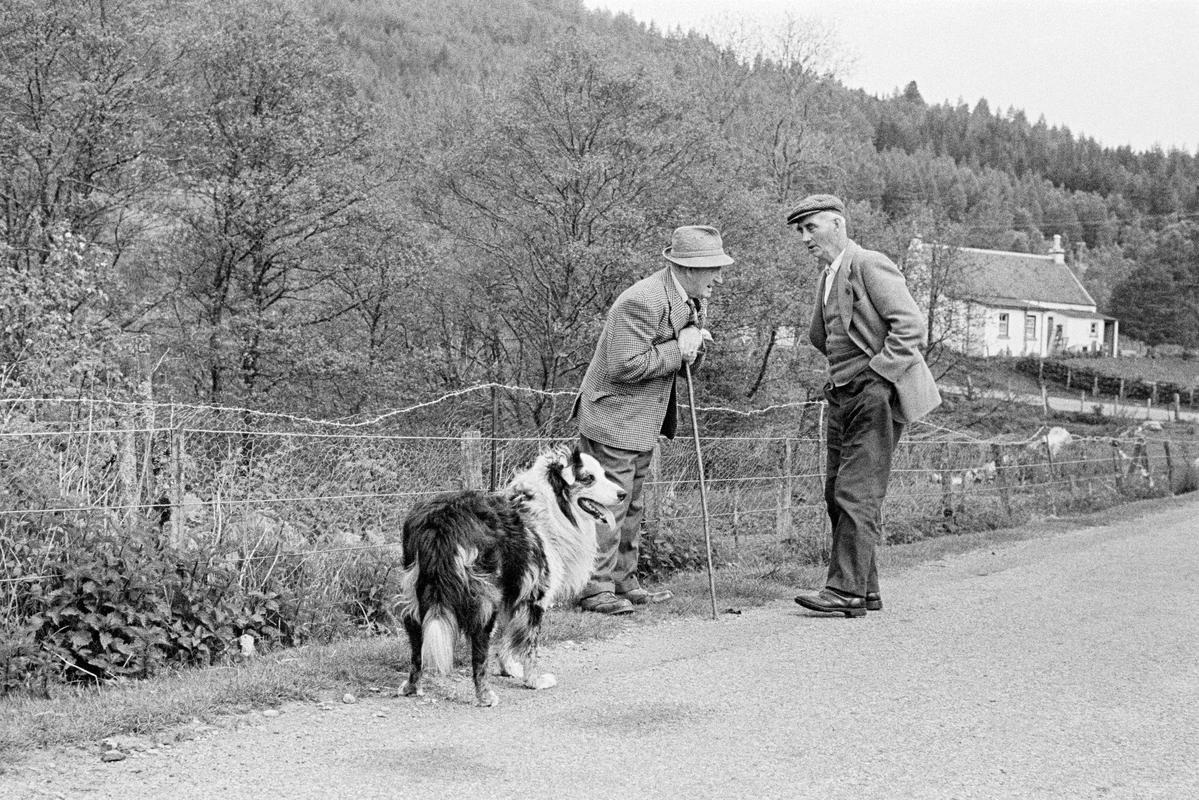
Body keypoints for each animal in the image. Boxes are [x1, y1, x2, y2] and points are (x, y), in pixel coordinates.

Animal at [395, 450, 623, 705]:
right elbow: (529, 645)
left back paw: (412, 686)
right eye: (588, 478)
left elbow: (508, 635)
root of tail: (440, 522)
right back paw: (485, 695)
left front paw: (508, 668)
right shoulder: (535, 596)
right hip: (483, 598)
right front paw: (533, 680)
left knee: (416, 642)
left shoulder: (513, 592)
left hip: (416, 592)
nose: (623, 494)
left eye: (603, 474)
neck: (550, 507)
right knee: (479, 650)